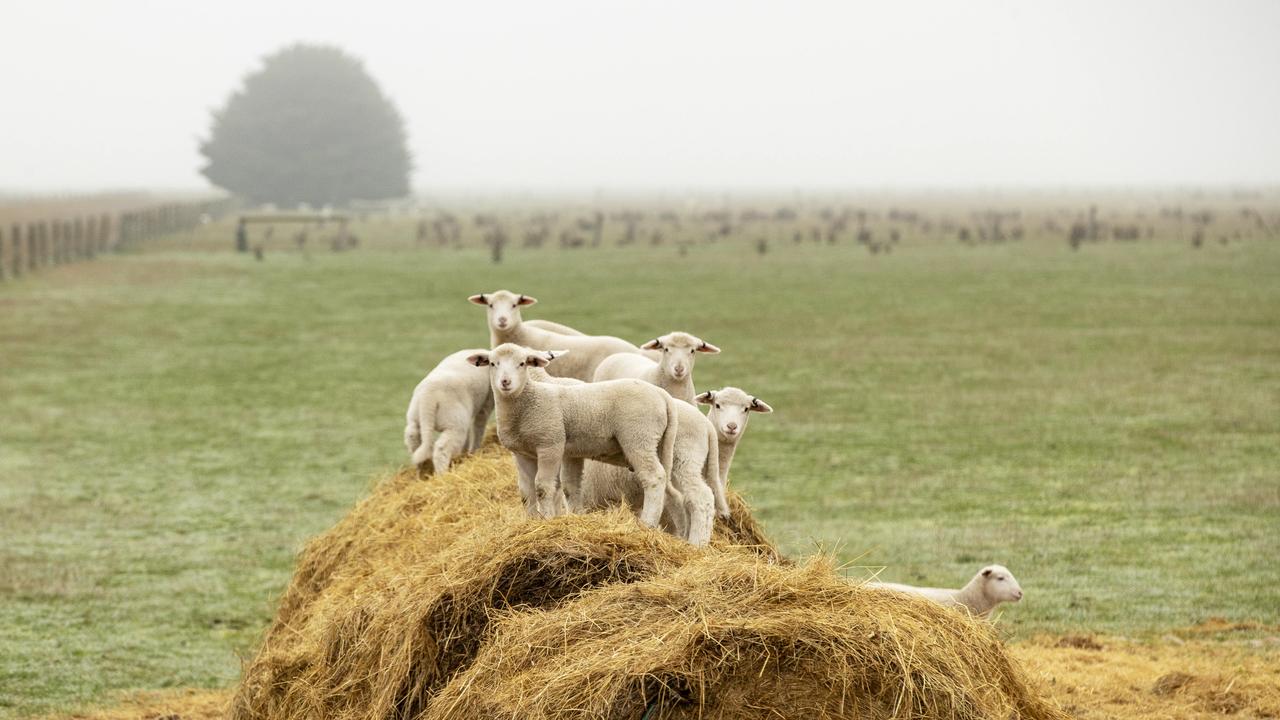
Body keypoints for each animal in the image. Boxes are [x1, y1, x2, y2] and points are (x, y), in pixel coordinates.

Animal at [463, 343, 680, 520]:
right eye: (493, 363)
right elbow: (527, 492)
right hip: (657, 444)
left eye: (522, 363)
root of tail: (662, 395)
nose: (505, 382)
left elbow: (543, 488)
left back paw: (647, 524)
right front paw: (531, 523)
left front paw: (548, 520)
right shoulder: (522, 452)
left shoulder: (550, 445)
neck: (530, 398)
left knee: (654, 478)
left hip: (639, 437)